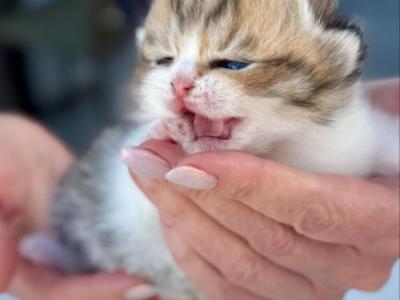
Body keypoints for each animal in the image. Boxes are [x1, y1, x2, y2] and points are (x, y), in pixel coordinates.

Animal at [22, 0, 400, 300]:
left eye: (233, 64)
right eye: (165, 60)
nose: (179, 84)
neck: (279, 149)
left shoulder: (353, 137)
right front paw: (169, 132)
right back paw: (41, 249)